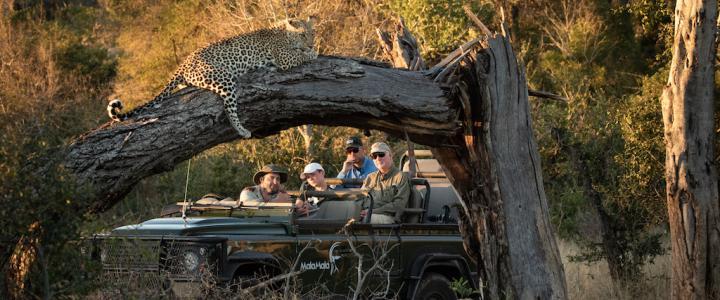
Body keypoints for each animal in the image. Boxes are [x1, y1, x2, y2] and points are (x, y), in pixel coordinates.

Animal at [107, 17, 318, 137]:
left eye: (312, 33)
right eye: (303, 35)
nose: (311, 43)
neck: (285, 33)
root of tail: (183, 64)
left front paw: (313, 49)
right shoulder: (284, 58)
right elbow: (300, 55)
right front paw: (314, 52)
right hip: (224, 79)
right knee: (230, 110)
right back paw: (242, 131)